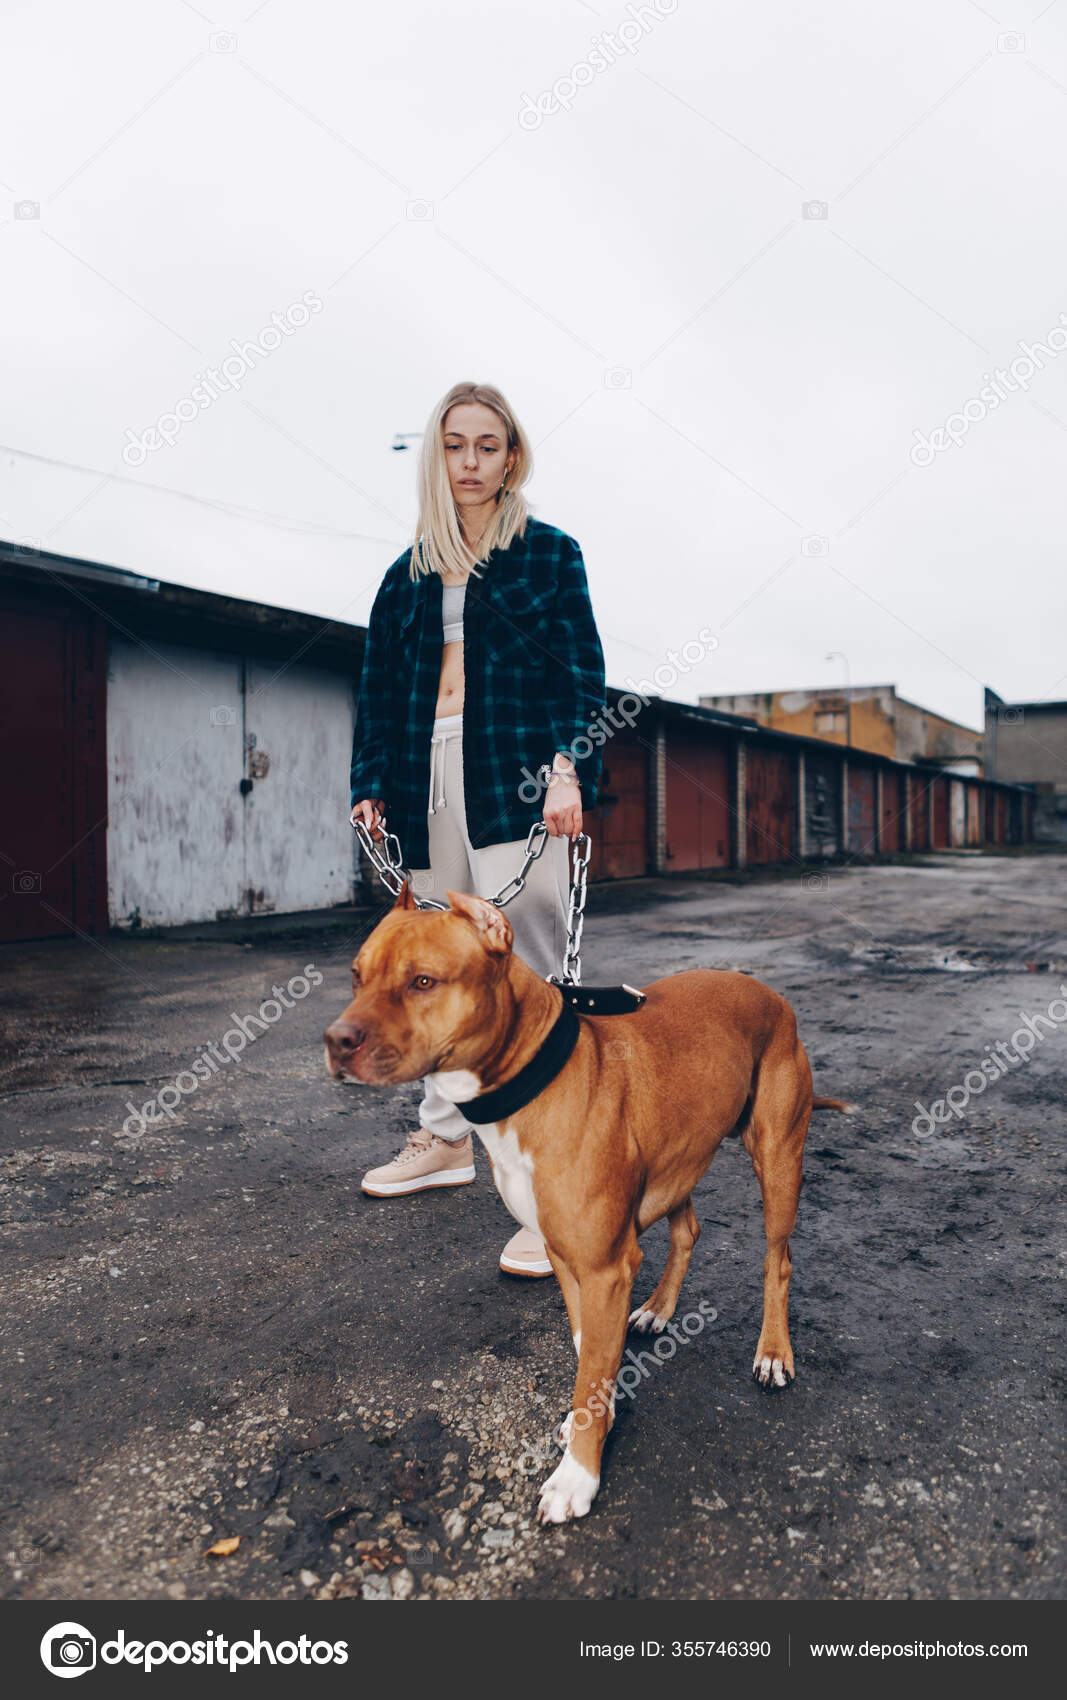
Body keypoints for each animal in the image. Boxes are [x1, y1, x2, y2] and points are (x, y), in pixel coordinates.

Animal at [324, 884, 849, 1523]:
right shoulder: (570, 1259)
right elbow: (587, 1350)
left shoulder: (603, 1267)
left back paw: (773, 1352)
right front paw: (601, 1413)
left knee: (778, 1259)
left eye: (423, 981)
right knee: (687, 1229)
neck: (531, 1082)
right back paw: (660, 1308)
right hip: (680, 1153)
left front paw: (577, 1474)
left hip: (776, 1160)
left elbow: (592, 1363)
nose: (337, 1041)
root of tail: (772, 994)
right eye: (356, 977)